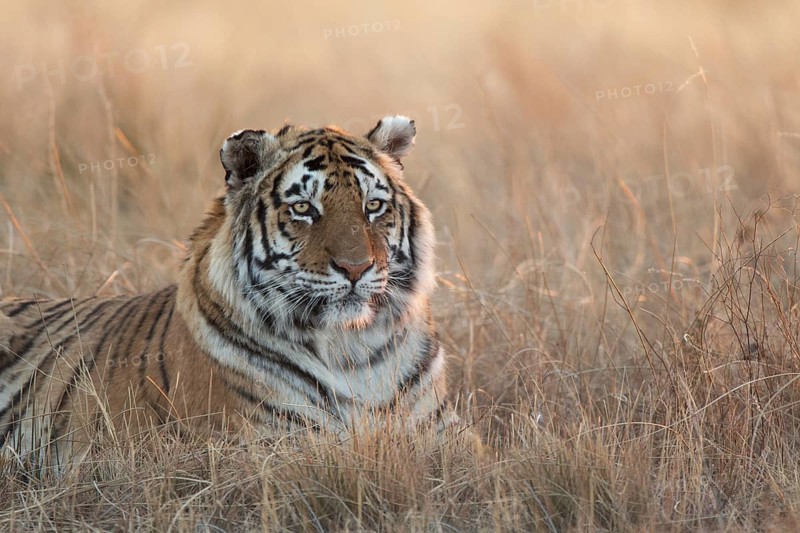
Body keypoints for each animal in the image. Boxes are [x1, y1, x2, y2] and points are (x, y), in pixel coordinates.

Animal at [0, 115, 454, 467]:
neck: (355, 352)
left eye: (373, 206)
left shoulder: (441, 437)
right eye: (303, 209)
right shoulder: (271, 446)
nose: (356, 268)